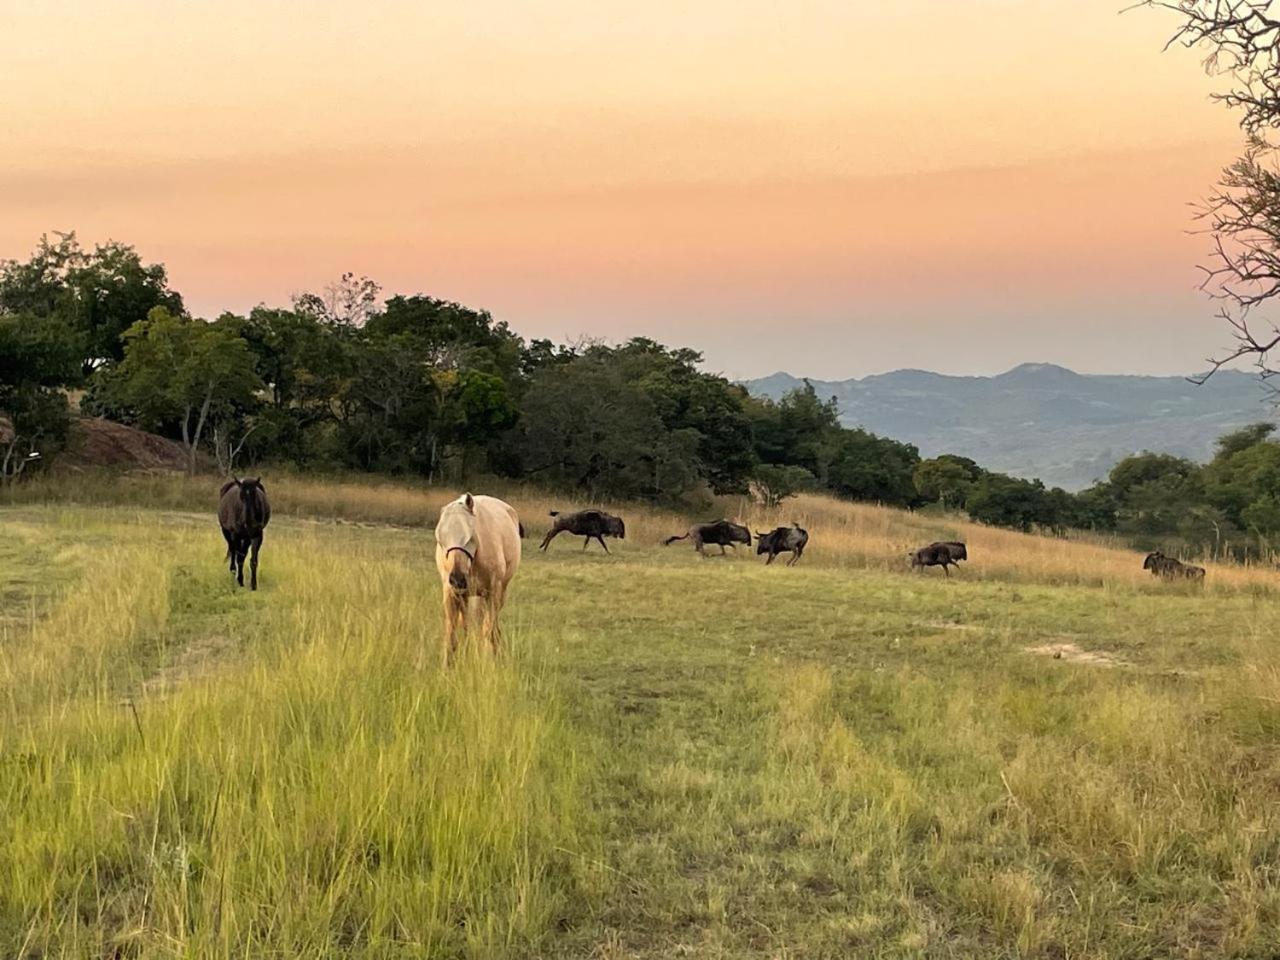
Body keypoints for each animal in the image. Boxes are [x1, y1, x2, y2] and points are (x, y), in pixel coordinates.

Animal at [437, 491, 522, 665]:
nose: (457, 579)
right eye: (441, 540)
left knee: (490, 624)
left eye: (469, 538)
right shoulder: (451, 592)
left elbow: (488, 629)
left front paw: (489, 660)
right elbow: (452, 631)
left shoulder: (493, 591)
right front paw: (448, 664)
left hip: (498, 593)